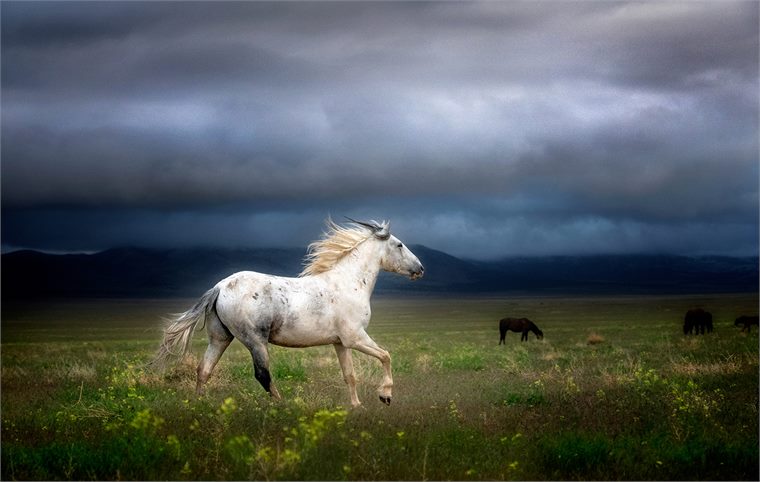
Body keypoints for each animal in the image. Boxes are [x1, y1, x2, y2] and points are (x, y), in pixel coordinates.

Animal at [152, 218, 424, 407]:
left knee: (204, 370)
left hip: (220, 338)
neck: (348, 283)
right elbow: (386, 356)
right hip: (255, 341)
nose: (420, 269)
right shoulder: (355, 338)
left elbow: (350, 375)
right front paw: (385, 395)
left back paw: (199, 406)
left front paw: (357, 407)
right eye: (399, 245)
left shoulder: (340, 343)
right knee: (262, 375)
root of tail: (219, 287)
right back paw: (283, 406)